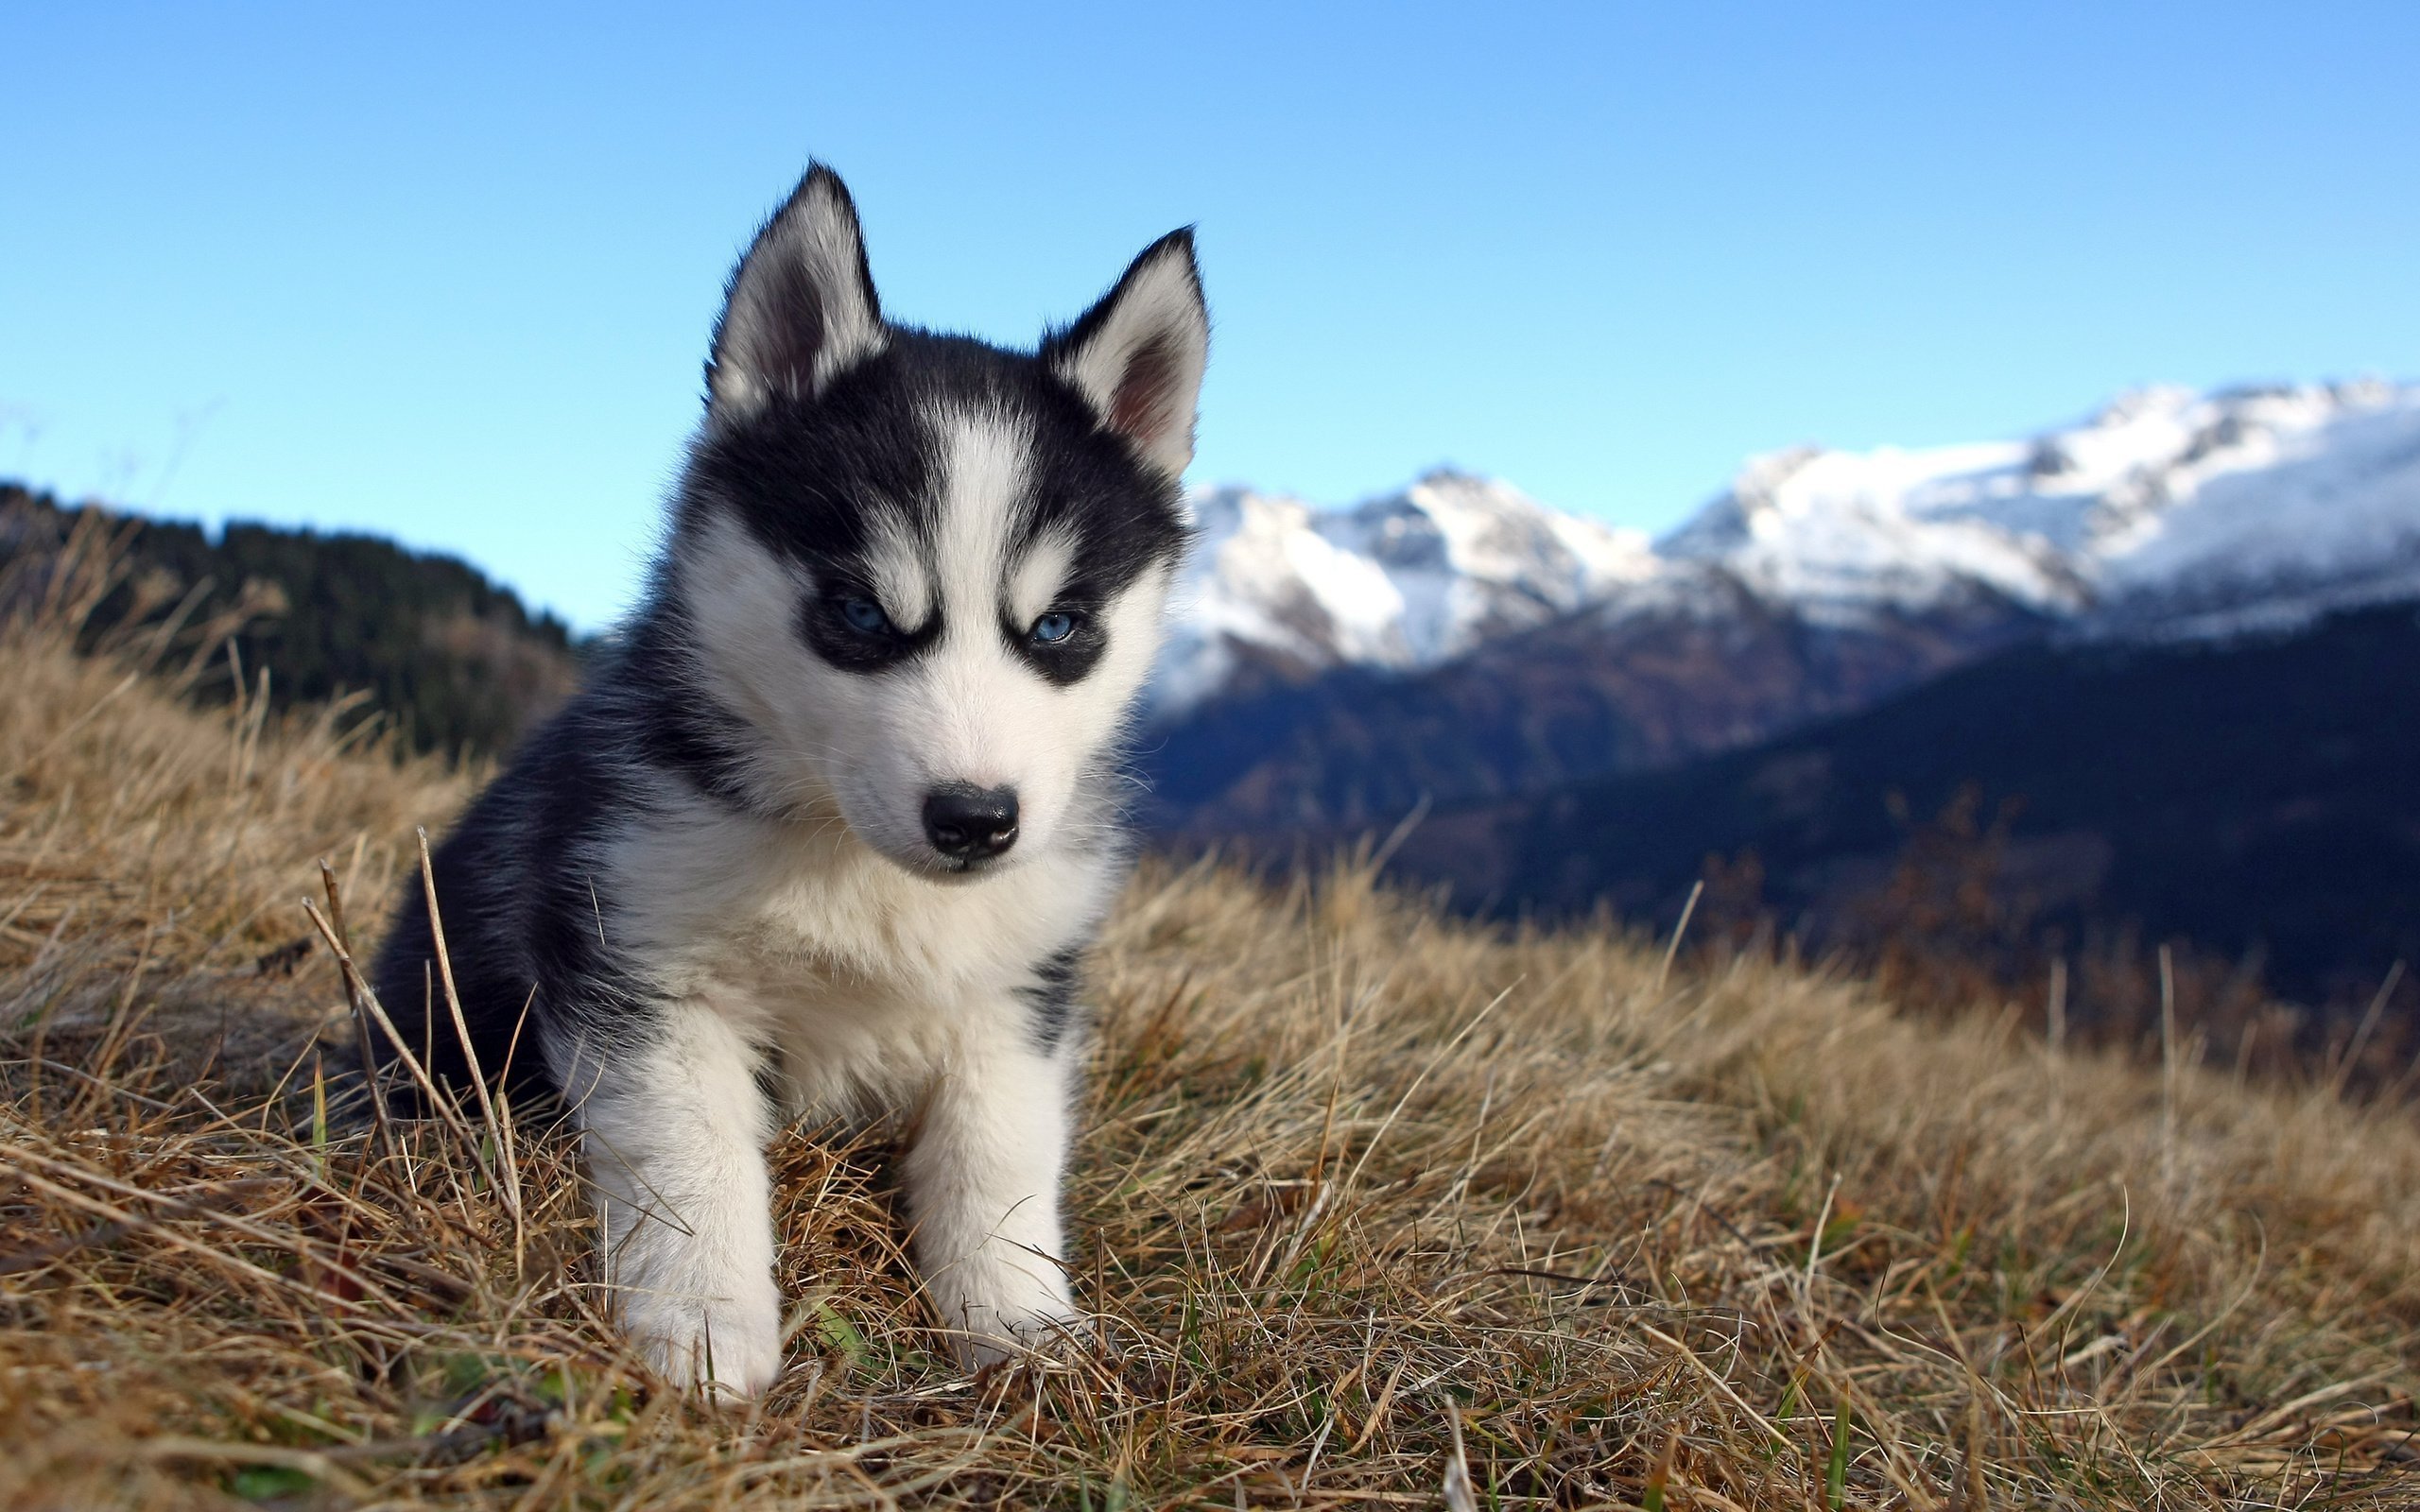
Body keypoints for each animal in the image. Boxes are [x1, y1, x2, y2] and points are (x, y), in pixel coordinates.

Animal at [372, 162, 1204, 1393]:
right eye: (857, 613)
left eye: (1058, 627)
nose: (976, 820)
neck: (852, 863)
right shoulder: (641, 960)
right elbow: (692, 1161)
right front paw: (704, 1328)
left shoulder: (1017, 992)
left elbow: (999, 1161)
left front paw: (1021, 1326)